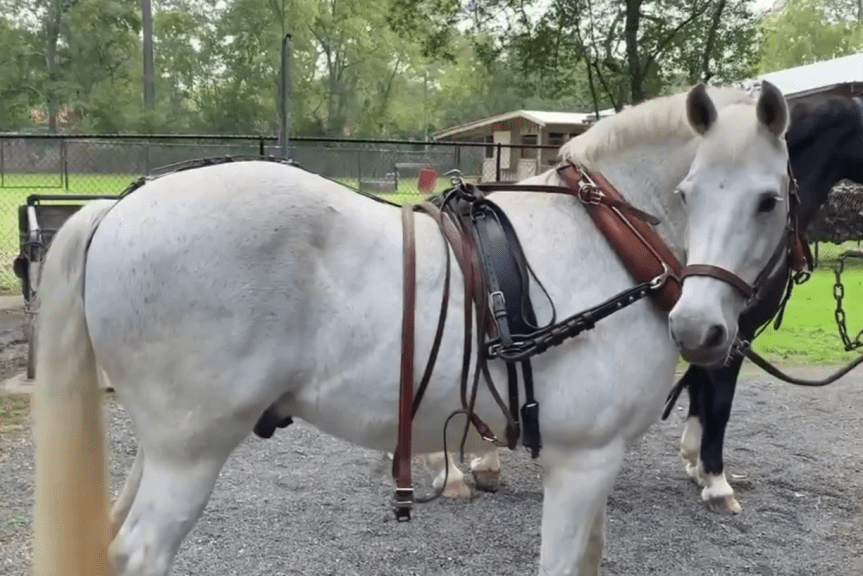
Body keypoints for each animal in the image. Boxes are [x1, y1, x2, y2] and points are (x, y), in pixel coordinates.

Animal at [31, 82, 793, 576]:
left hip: (162, 449)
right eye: (688, 194)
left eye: (766, 200)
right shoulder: (581, 462)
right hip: (189, 456)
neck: (604, 240)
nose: (699, 331)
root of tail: (118, 206)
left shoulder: (595, 467)